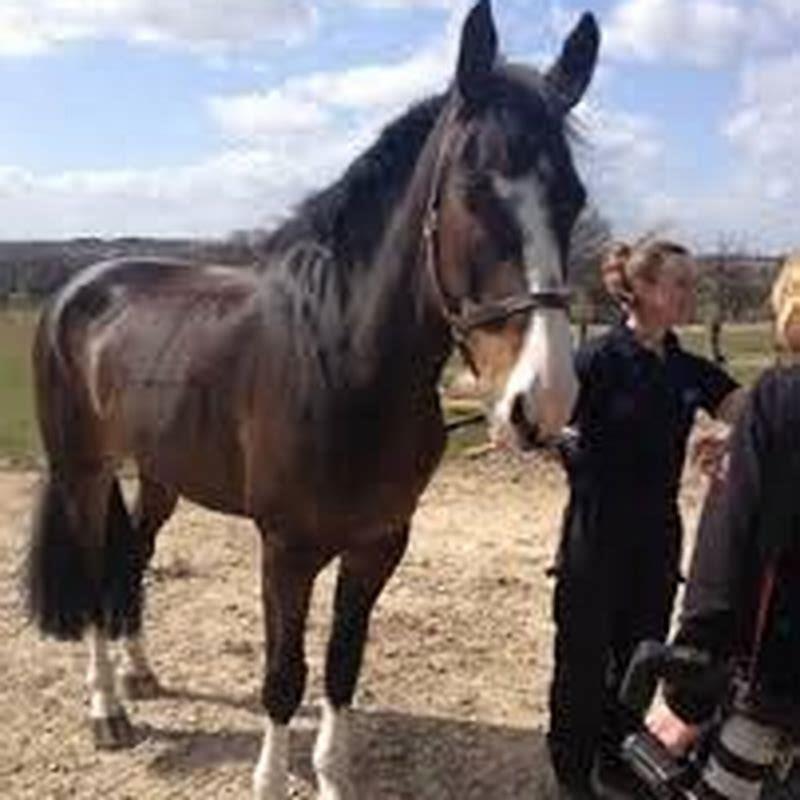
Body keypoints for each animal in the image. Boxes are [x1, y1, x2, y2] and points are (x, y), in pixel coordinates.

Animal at [24, 2, 599, 797]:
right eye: (475, 193)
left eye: (573, 199)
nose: (541, 402)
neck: (343, 365)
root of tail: (76, 290)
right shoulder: (286, 551)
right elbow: (283, 677)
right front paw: (272, 778)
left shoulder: (378, 546)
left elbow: (340, 668)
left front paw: (331, 774)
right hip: (82, 471)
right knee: (89, 571)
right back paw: (109, 711)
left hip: (161, 475)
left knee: (131, 556)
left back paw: (141, 676)